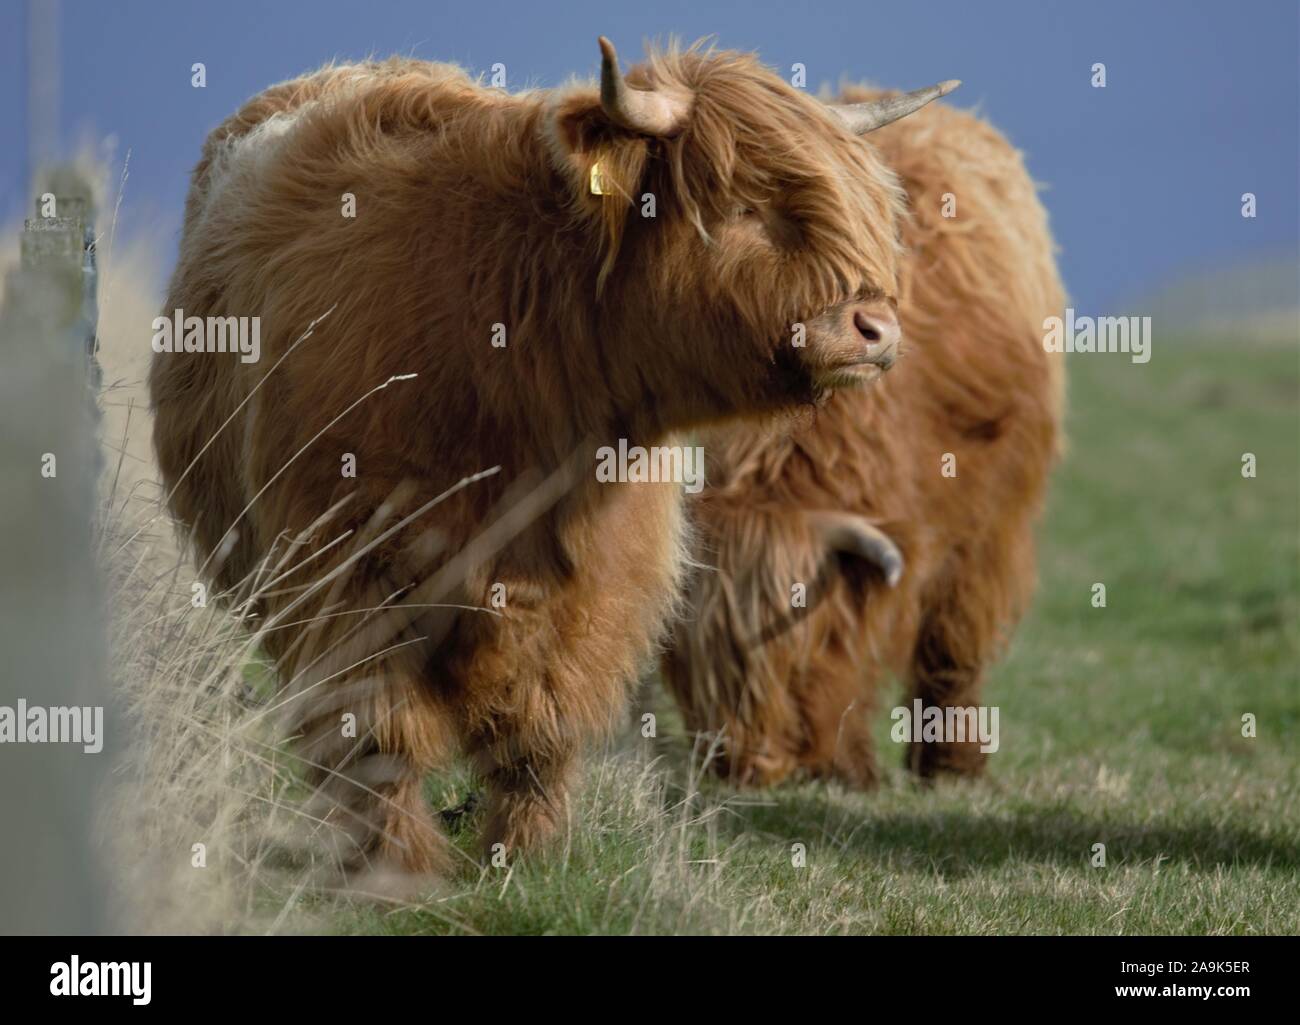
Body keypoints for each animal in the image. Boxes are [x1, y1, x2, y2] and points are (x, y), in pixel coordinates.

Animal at [152, 36, 961, 879]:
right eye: (743, 203)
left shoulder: (600, 584)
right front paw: (400, 865)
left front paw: (526, 855)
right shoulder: (341, 565)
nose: (876, 328)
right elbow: (378, 728)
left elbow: (544, 725)